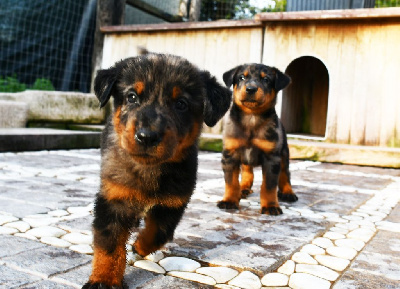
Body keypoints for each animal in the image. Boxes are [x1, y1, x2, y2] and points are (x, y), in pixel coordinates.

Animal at [217, 63, 298, 216]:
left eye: (266, 79)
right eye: (241, 77)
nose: (250, 89)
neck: (252, 117)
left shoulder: (272, 157)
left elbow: (269, 186)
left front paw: (271, 206)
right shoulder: (230, 155)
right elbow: (231, 182)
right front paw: (229, 200)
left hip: (284, 153)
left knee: (285, 174)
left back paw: (288, 193)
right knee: (247, 171)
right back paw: (243, 188)